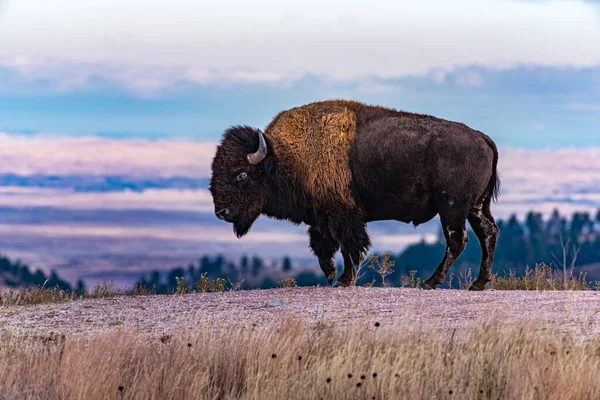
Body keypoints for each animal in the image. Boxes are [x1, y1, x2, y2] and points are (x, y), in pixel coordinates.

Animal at [209, 98, 500, 290]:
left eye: (241, 174)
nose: (221, 211)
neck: (285, 157)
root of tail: (482, 138)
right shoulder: (321, 217)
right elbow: (322, 247)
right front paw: (330, 275)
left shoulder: (344, 216)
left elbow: (349, 246)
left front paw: (343, 280)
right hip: (475, 207)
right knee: (488, 233)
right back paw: (478, 283)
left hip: (452, 208)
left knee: (457, 240)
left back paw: (431, 282)